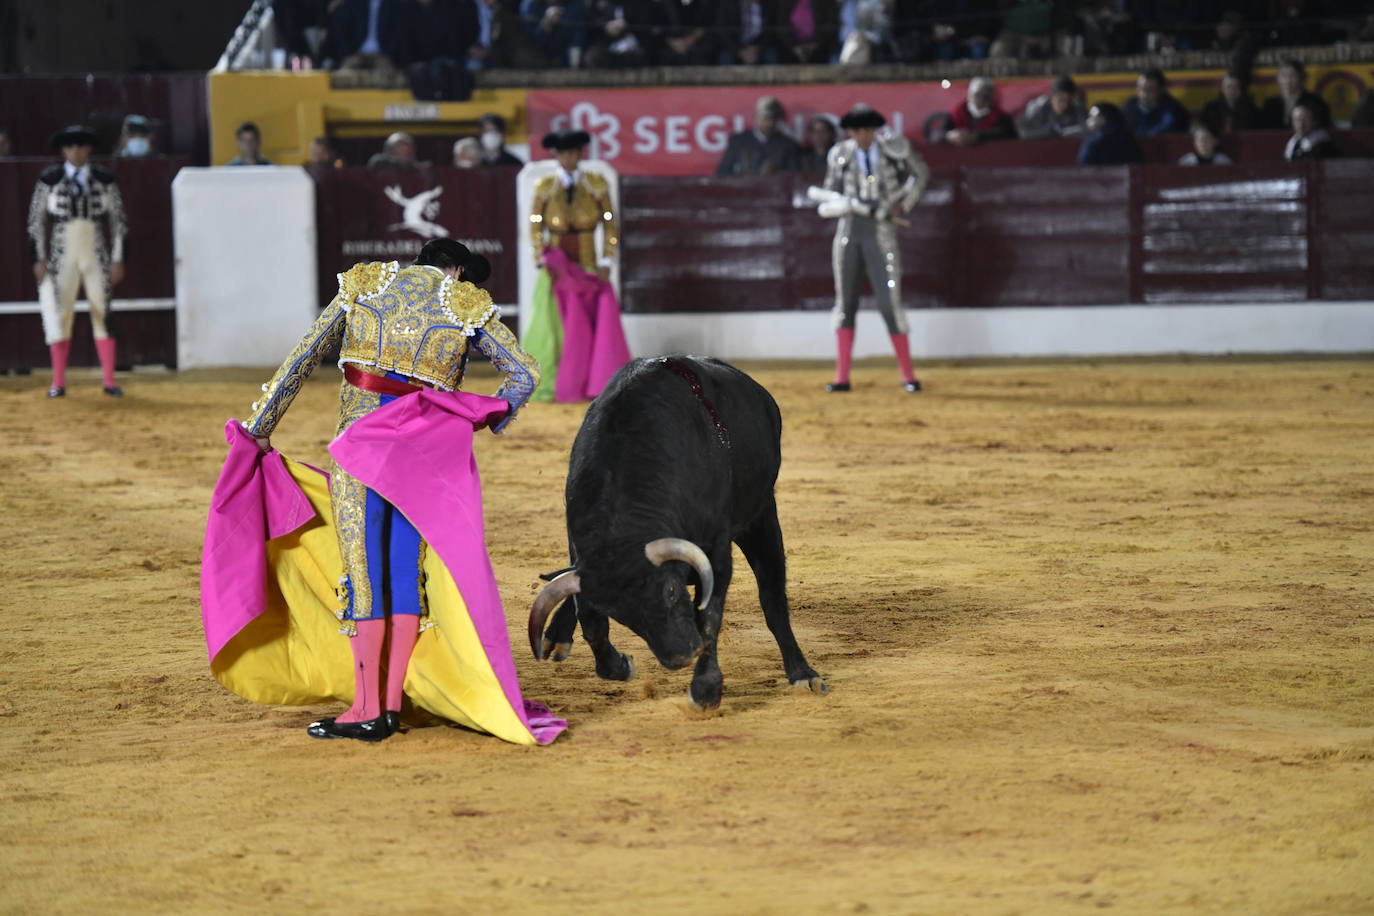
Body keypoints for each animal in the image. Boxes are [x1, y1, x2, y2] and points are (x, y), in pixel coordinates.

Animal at [527, 357, 824, 708]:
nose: (681, 655)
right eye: (621, 615)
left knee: (773, 596)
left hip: (762, 516)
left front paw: (705, 689)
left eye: (670, 591)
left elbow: (709, 616)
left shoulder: (716, 552)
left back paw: (802, 673)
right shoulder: (582, 553)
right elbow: (590, 618)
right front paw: (619, 665)